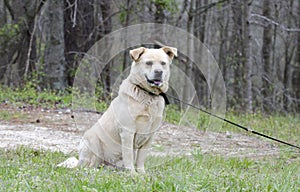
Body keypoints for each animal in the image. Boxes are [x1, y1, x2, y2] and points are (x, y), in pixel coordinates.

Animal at [57, 45, 177, 173]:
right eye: (149, 63)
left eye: (163, 63)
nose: (159, 72)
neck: (148, 94)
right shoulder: (127, 131)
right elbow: (129, 155)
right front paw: (132, 173)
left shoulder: (150, 135)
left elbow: (140, 158)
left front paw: (141, 173)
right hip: (92, 140)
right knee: (89, 166)